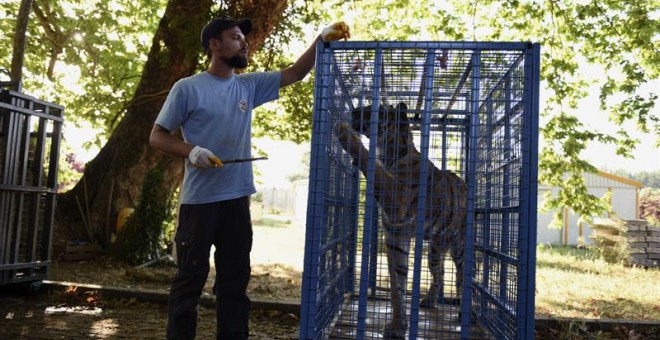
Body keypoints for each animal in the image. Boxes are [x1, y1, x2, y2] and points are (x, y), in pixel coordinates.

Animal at [336, 102, 470, 338]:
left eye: (377, 109)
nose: (353, 112)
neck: (389, 154)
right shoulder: (396, 233)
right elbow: (397, 284)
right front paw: (398, 326)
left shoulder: (397, 198)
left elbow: (373, 167)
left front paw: (345, 133)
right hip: (435, 249)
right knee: (440, 272)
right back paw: (429, 301)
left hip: (459, 246)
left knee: (463, 278)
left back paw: (463, 313)